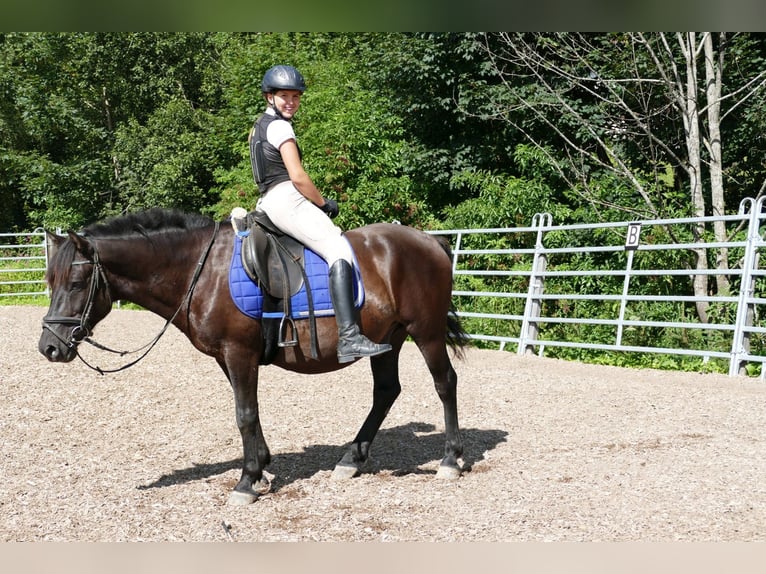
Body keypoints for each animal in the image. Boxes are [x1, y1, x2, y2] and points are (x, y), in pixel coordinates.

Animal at [39, 209, 472, 506]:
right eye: (50, 281)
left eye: (76, 283)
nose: (49, 347)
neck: (200, 270)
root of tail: (430, 241)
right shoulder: (228, 357)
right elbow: (251, 412)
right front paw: (262, 467)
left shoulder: (238, 351)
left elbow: (244, 414)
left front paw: (247, 481)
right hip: (388, 339)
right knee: (386, 392)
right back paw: (351, 459)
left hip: (426, 332)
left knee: (445, 383)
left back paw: (451, 460)